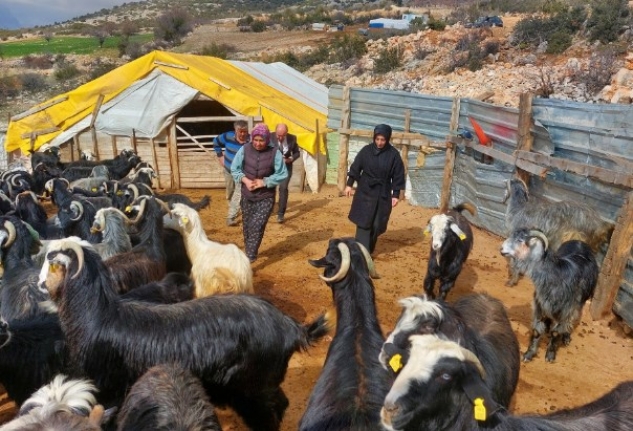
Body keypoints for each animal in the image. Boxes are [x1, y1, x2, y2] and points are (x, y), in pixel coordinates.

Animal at [39, 238, 328, 430]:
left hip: (254, 386)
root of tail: (292, 327)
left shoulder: (110, 390)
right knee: (281, 404)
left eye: (52, 263)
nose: (40, 285)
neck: (98, 316)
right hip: (264, 383)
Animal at [498, 228, 596, 362]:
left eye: (520, 240)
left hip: (579, 303)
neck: (554, 275)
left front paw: (550, 355)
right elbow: (536, 331)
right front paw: (529, 354)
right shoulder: (540, 305)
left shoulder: (566, 309)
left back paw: (566, 337)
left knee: (574, 318)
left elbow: (556, 332)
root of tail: (579, 240)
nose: (501, 249)